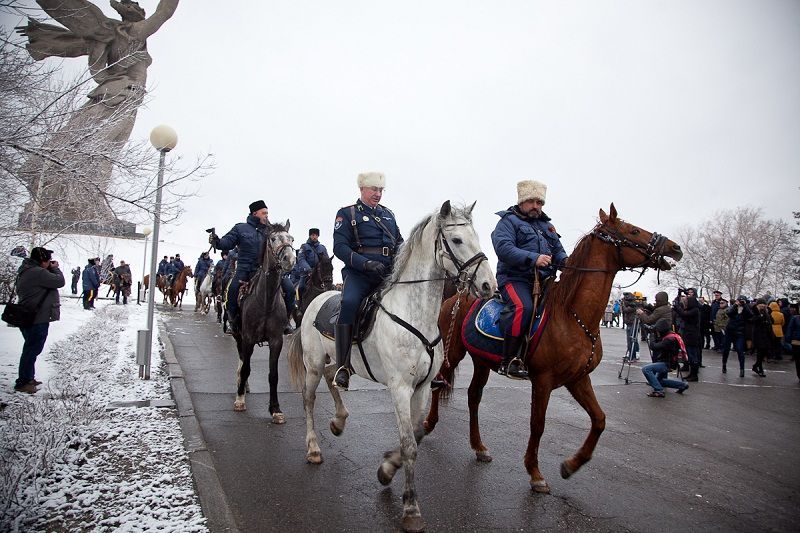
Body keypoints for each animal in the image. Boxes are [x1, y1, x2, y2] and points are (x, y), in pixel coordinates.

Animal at [288, 201, 494, 532]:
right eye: (457, 240)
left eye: (477, 236)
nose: (489, 285)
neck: (414, 313)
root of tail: (317, 298)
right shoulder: (400, 388)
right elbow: (409, 444)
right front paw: (410, 507)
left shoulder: (422, 388)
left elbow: (418, 434)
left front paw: (387, 468)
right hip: (313, 365)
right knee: (309, 400)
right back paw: (314, 448)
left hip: (338, 363)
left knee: (335, 377)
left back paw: (339, 421)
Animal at [424, 203, 680, 490]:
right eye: (633, 231)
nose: (674, 248)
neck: (572, 315)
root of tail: (454, 298)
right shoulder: (543, 380)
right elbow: (538, 425)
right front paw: (535, 473)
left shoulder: (578, 379)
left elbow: (599, 420)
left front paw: (571, 465)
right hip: (453, 353)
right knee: (438, 384)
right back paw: (428, 424)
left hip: (481, 361)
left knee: (473, 396)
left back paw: (479, 446)